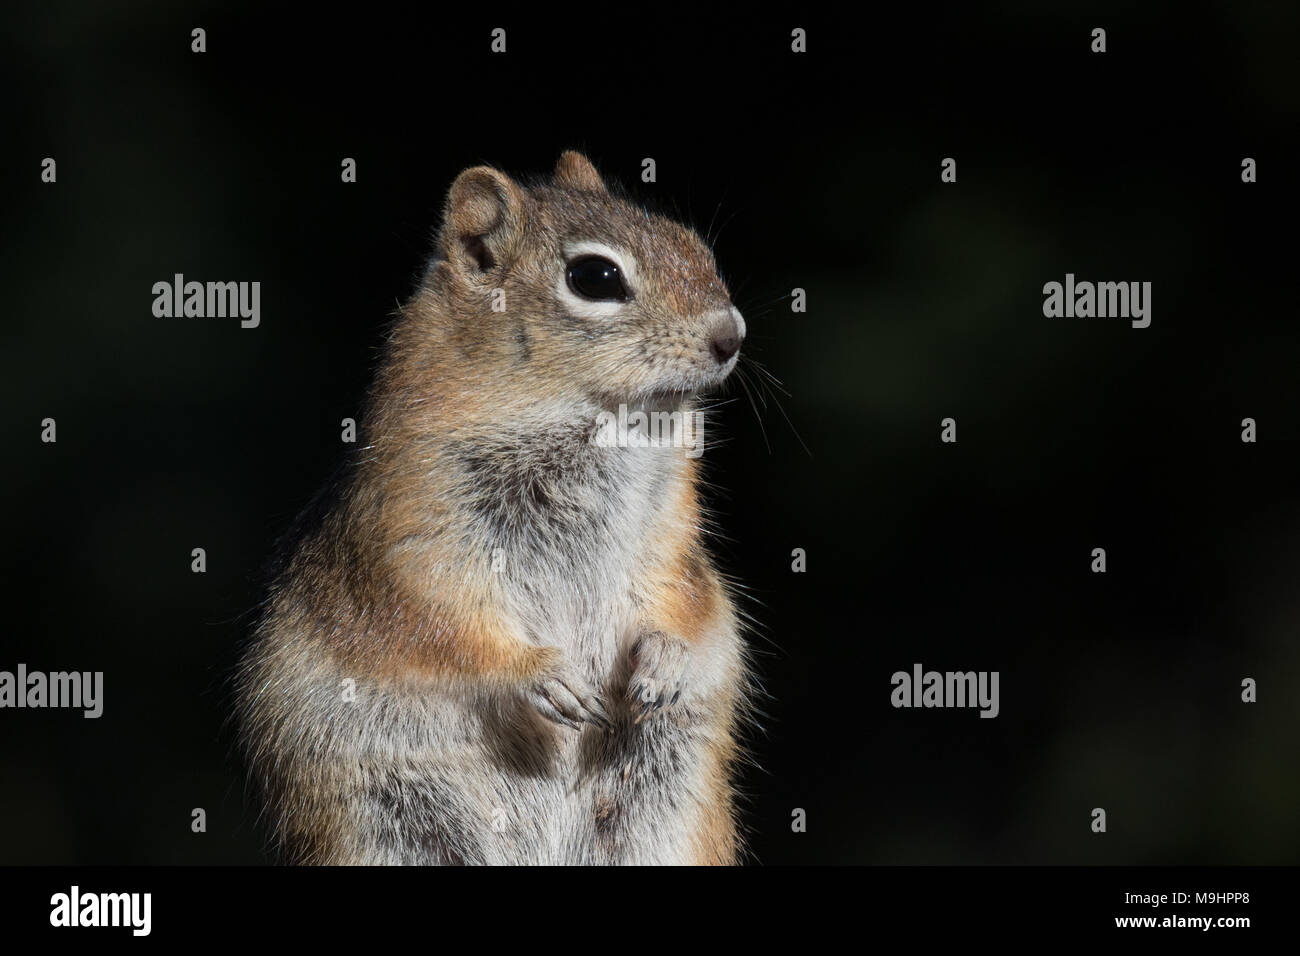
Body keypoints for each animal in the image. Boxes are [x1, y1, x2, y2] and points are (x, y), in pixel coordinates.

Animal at [236, 151, 754, 868]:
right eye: (595, 277)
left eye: (695, 246)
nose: (731, 335)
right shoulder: (413, 536)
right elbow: (447, 626)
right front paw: (542, 676)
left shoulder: (670, 535)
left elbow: (679, 598)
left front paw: (666, 659)